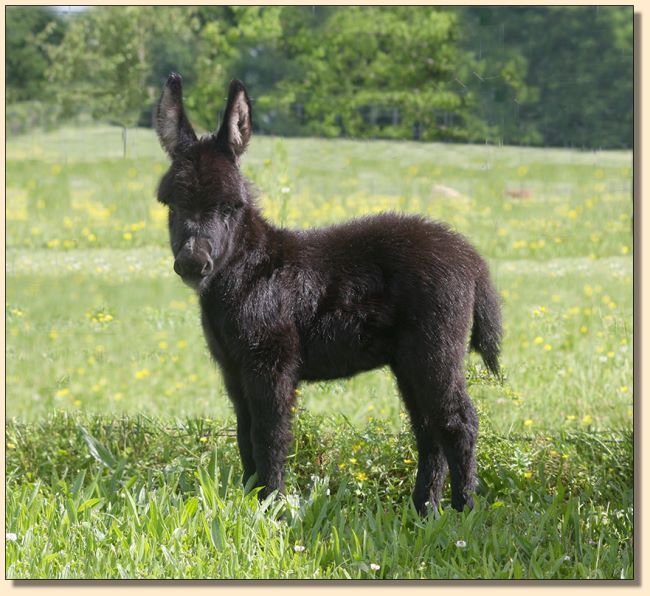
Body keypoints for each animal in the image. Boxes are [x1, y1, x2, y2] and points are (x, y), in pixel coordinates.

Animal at [153, 72, 502, 516]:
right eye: (170, 204)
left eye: (231, 206)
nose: (193, 264)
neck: (251, 272)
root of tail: (472, 259)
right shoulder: (233, 370)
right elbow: (245, 438)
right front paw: (251, 503)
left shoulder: (272, 365)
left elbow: (271, 437)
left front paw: (271, 507)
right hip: (408, 360)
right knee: (428, 429)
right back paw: (425, 511)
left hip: (435, 349)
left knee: (458, 422)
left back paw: (464, 513)